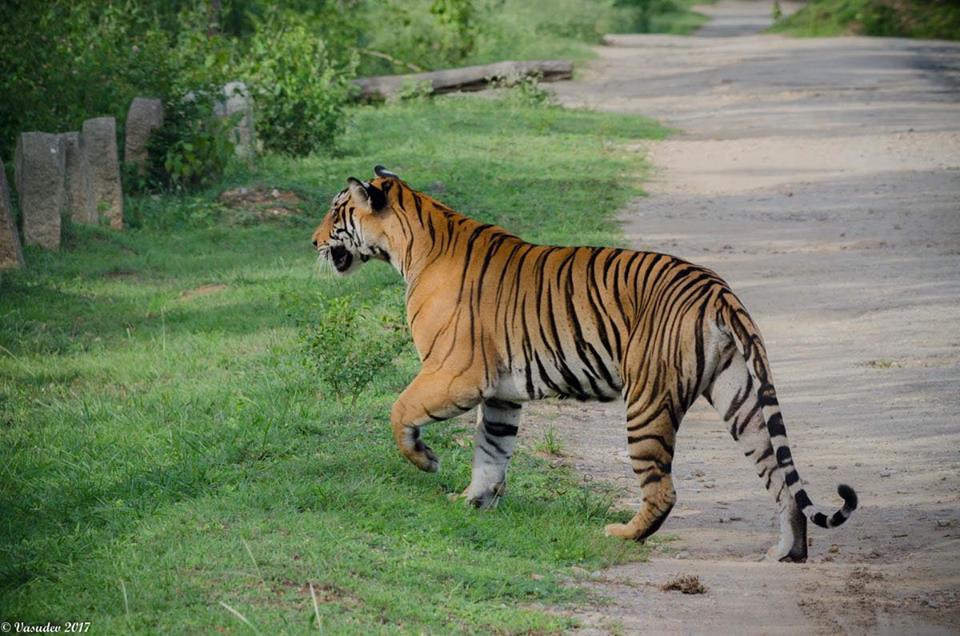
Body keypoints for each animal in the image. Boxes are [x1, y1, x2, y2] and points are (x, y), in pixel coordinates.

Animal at [312, 165, 860, 560]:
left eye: (336, 212)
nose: (313, 242)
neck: (411, 242)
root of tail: (717, 289)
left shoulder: (455, 373)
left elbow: (399, 410)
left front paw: (426, 461)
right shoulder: (501, 394)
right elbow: (491, 453)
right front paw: (471, 502)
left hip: (647, 402)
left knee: (663, 489)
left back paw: (620, 534)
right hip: (740, 397)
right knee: (779, 476)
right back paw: (788, 552)